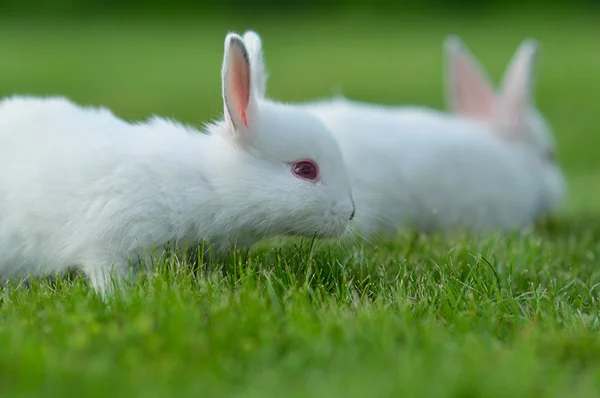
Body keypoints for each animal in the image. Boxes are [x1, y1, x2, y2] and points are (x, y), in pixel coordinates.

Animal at [0, 32, 356, 294]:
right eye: (305, 170)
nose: (350, 212)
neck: (207, 183)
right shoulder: (106, 242)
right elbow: (107, 275)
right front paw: (119, 300)